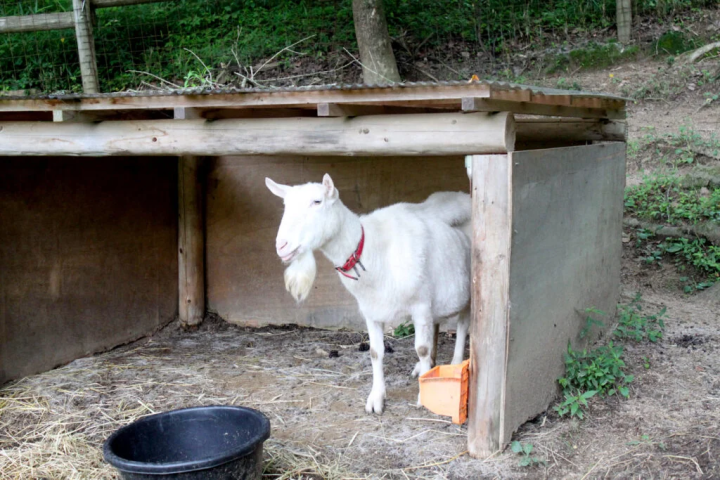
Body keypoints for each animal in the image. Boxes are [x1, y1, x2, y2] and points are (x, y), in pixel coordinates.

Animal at [265, 174, 471, 414]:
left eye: (317, 201)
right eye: (285, 205)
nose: (282, 245)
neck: (372, 249)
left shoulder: (419, 305)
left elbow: (421, 348)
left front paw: (423, 395)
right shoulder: (371, 310)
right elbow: (375, 352)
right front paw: (376, 398)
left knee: (463, 325)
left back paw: (454, 363)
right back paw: (427, 367)